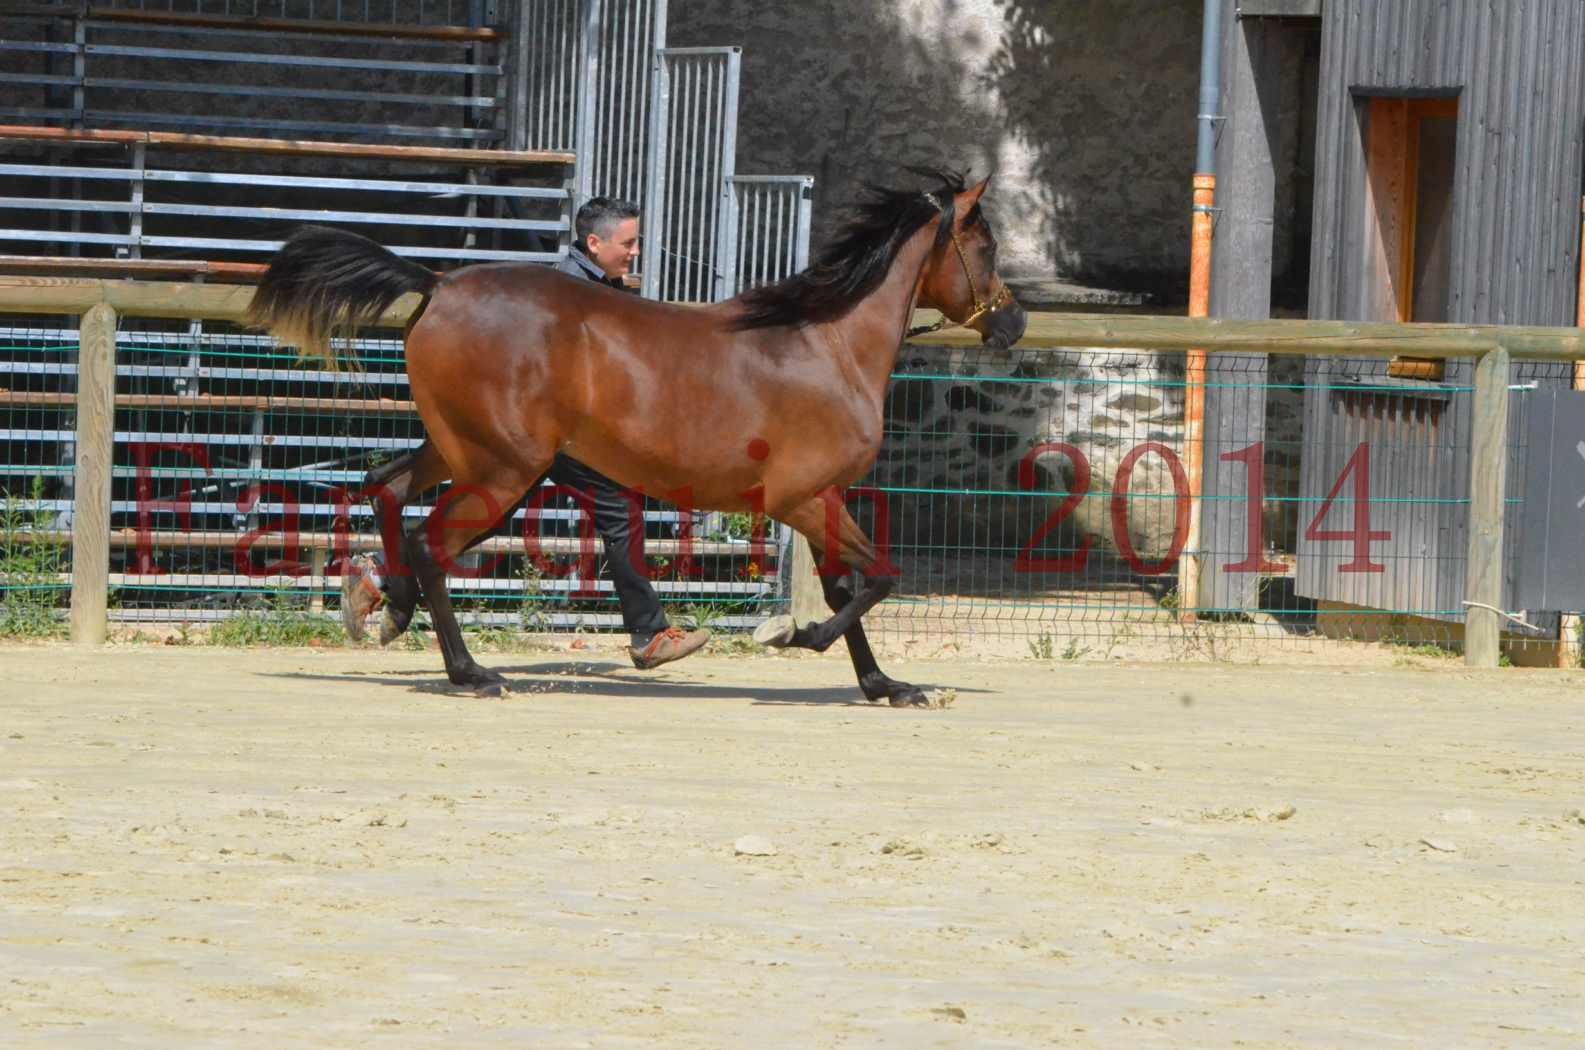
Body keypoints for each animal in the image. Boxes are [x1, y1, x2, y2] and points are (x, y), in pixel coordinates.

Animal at [240, 168, 1020, 704]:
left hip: (464, 450)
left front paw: (886, 686)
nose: (1012, 322)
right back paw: (470, 672)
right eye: (983, 244)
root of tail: (439, 285)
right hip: (504, 469)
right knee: (433, 544)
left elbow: (846, 589)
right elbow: (878, 578)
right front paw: (799, 638)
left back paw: (386, 602)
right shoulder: (802, 499)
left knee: (387, 488)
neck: (825, 345)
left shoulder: (822, 499)